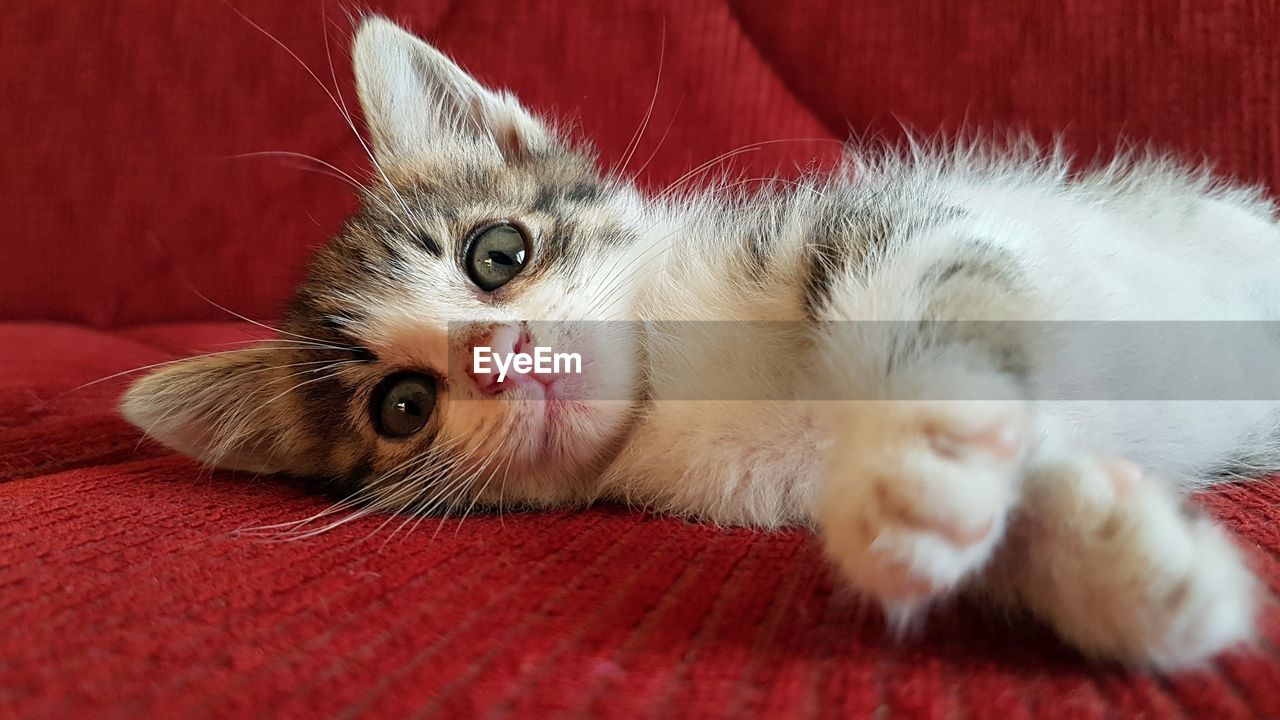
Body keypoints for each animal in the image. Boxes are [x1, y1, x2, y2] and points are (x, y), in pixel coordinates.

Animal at [117, 15, 1269, 666]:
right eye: (403, 407)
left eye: (497, 253)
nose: (505, 354)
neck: (673, 391)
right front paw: (1124, 570)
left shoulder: (888, 225)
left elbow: (925, 297)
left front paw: (925, 448)